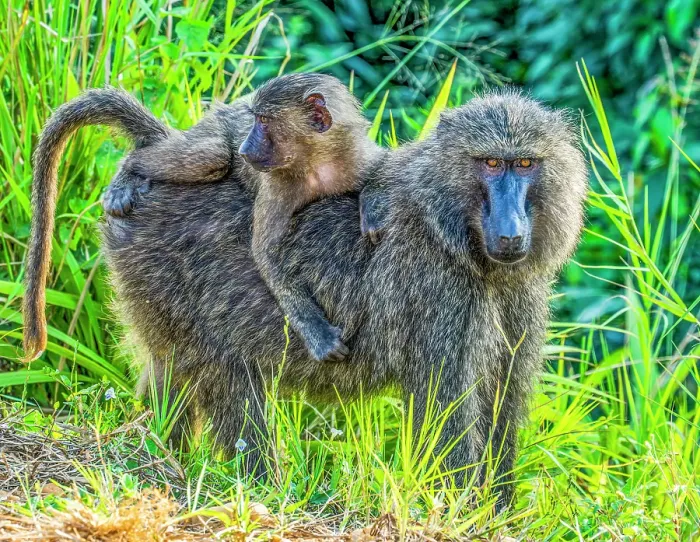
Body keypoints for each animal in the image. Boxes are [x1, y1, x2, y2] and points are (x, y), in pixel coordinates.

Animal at [22, 75, 385, 364]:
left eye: (265, 121)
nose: (245, 150)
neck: (318, 161)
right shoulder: (278, 185)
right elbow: (266, 255)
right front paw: (318, 335)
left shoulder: (356, 157)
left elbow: (378, 172)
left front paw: (372, 210)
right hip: (210, 132)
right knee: (213, 154)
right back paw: (128, 172)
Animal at [100, 88, 588, 507]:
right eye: (489, 163)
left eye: (523, 163)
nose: (510, 234)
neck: (448, 229)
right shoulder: (438, 297)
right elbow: (443, 412)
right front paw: (460, 512)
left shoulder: (515, 295)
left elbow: (502, 401)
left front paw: (497, 512)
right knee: (231, 384)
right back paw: (263, 489)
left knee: (169, 376)